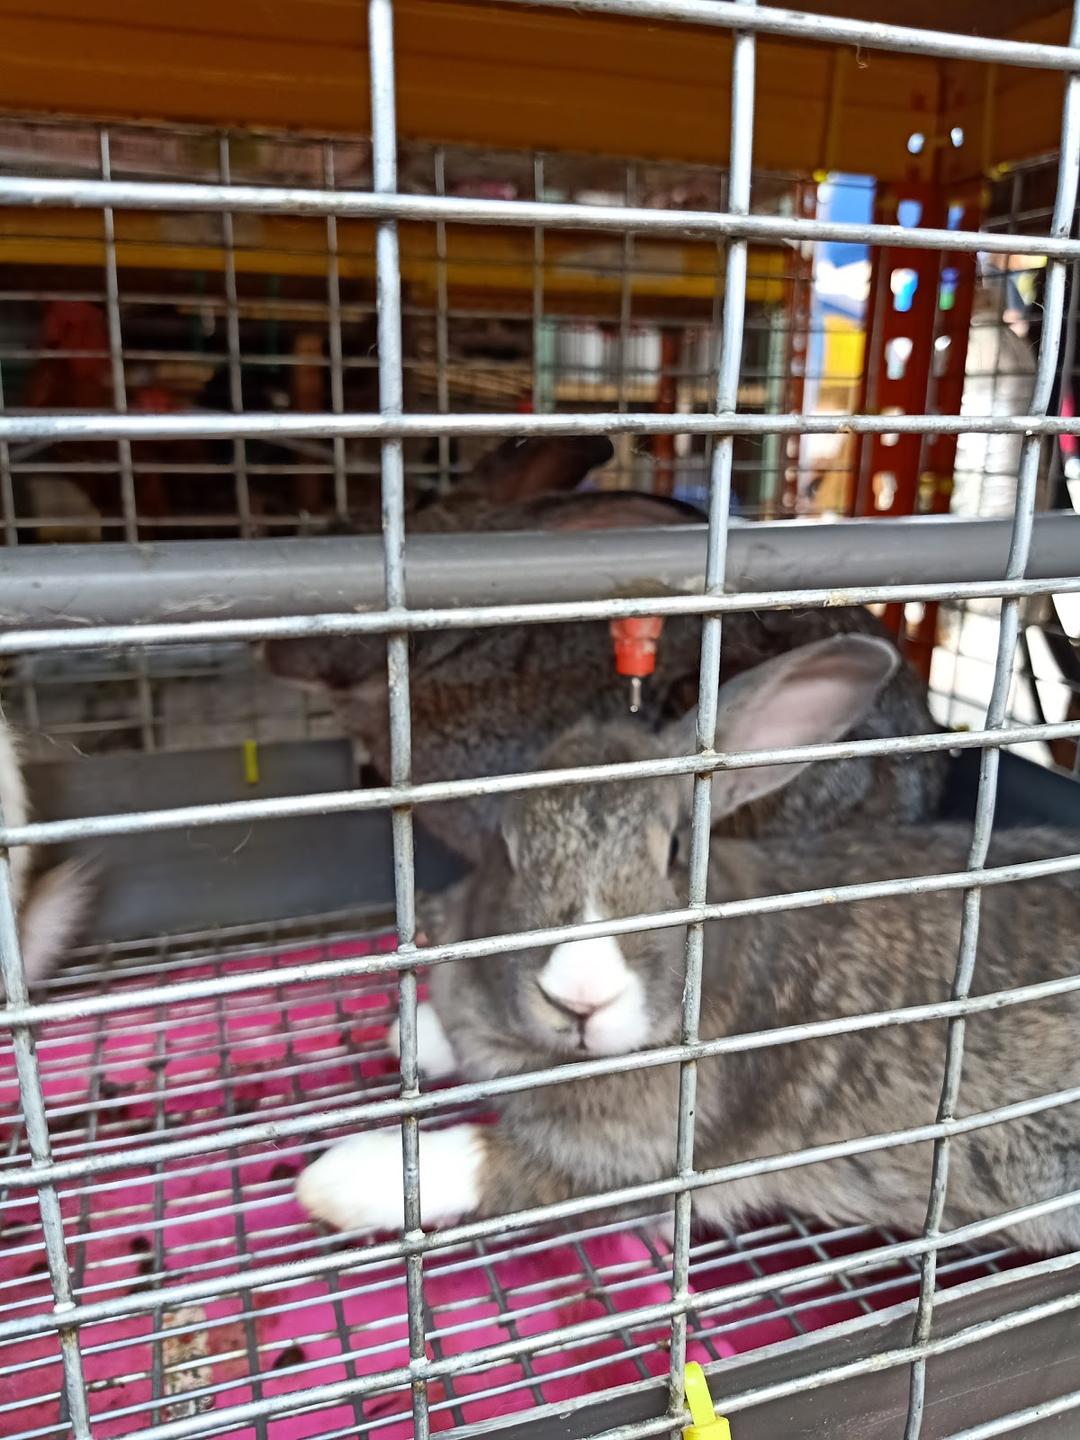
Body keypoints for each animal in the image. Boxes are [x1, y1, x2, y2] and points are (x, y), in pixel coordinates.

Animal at [300, 636, 1080, 1255]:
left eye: (677, 850)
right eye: (508, 850)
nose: (579, 997)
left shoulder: (630, 1163)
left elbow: (484, 1159)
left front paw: (334, 1181)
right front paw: (413, 1033)